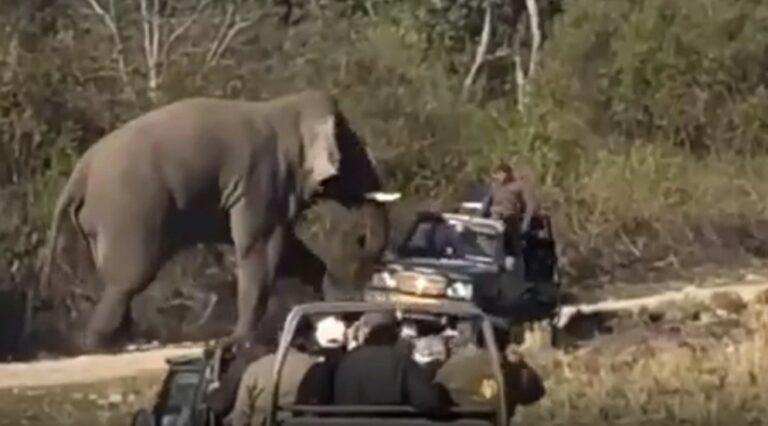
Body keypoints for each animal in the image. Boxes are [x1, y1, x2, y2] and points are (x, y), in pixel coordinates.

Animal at [37, 89, 400, 352]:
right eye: (352, 151)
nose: (360, 240)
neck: (285, 109)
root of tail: (79, 173)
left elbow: (288, 254)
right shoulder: (261, 181)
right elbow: (261, 250)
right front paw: (237, 341)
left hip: (99, 221)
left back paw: (125, 341)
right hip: (129, 210)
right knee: (129, 278)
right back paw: (99, 345)